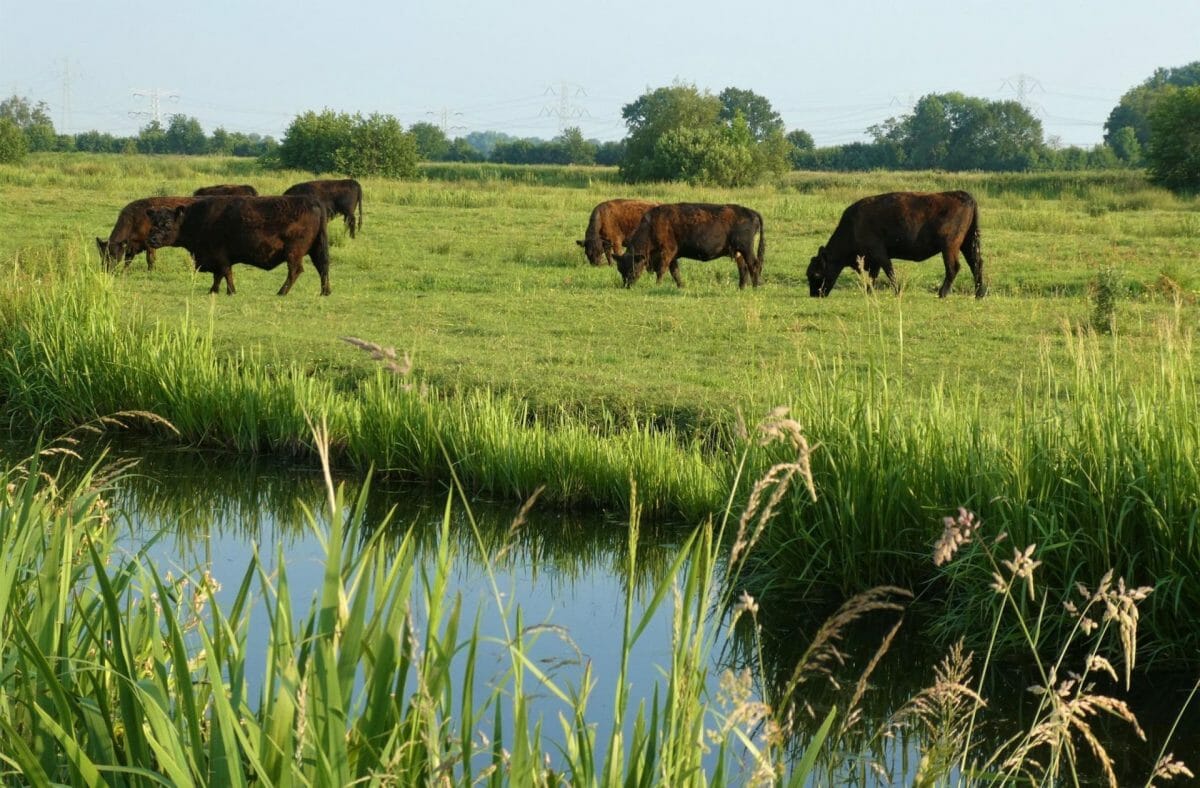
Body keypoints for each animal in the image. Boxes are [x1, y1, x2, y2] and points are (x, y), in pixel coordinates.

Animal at [146, 195, 333, 295]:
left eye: (167, 223)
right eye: (153, 222)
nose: (152, 239)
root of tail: (312, 201)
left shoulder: (220, 255)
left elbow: (225, 272)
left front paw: (230, 291)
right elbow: (219, 275)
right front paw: (214, 290)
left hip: (294, 253)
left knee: (296, 270)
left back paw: (282, 292)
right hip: (315, 249)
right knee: (322, 268)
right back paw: (325, 292)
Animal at [614, 202, 763, 289]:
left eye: (631, 267)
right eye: (620, 269)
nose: (626, 286)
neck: (651, 226)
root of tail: (751, 212)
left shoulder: (666, 252)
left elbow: (661, 270)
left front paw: (657, 285)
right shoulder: (673, 256)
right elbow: (675, 272)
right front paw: (681, 286)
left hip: (746, 249)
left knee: (754, 265)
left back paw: (755, 286)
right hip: (738, 252)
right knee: (743, 268)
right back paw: (741, 287)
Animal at [806, 190, 984, 298]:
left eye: (816, 274)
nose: (814, 294)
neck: (853, 225)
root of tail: (963, 194)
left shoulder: (879, 253)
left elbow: (889, 272)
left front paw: (897, 291)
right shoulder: (874, 259)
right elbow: (873, 276)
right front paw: (869, 292)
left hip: (949, 247)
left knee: (953, 267)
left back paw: (942, 293)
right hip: (967, 244)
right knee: (976, 264)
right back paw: (979, 294)